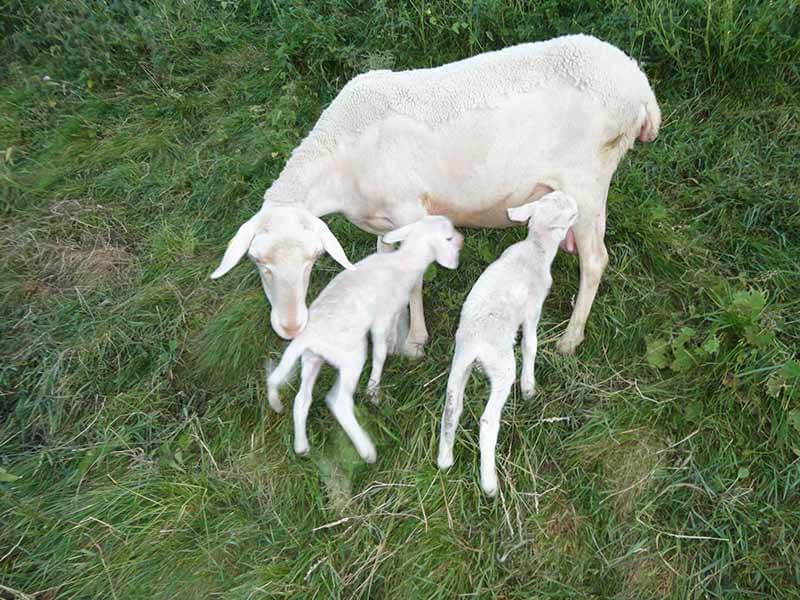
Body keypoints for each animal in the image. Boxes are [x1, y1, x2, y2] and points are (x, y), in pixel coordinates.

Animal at [209, 32, 660, 354]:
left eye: (312, 260)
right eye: (257, 262)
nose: (290, 327)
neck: (342, 154)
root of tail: (641, 88)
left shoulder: (409, 210)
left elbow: (411, 277)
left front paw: (415, 340)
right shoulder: (383, 221)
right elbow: (386, 267)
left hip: (587, 179)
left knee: (596, 259)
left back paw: (570, 339)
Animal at [268, 218, 462, 462]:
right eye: (449, 237)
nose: (462, 240)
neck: (404, 261)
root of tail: (308, 336)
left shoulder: (395, 310)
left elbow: (397, 327)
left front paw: (397, 345)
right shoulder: (380, 319)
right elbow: (379, 352)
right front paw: (373, 389)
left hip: (312, 359)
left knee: (302, 399)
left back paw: (302, 446)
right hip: (351, 356)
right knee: (338, 402)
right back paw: (366, 450)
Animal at [434, 192, 580, 496]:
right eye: (572, 213)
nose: (578, 203)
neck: (536, 248)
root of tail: (476, 347)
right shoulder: (533, 309)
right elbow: (530, 344)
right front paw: (529, 387)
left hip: (459, 365)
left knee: (451, 409)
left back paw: (445, 460)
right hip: (501, 369)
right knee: (488, 421)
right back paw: (489, 483)